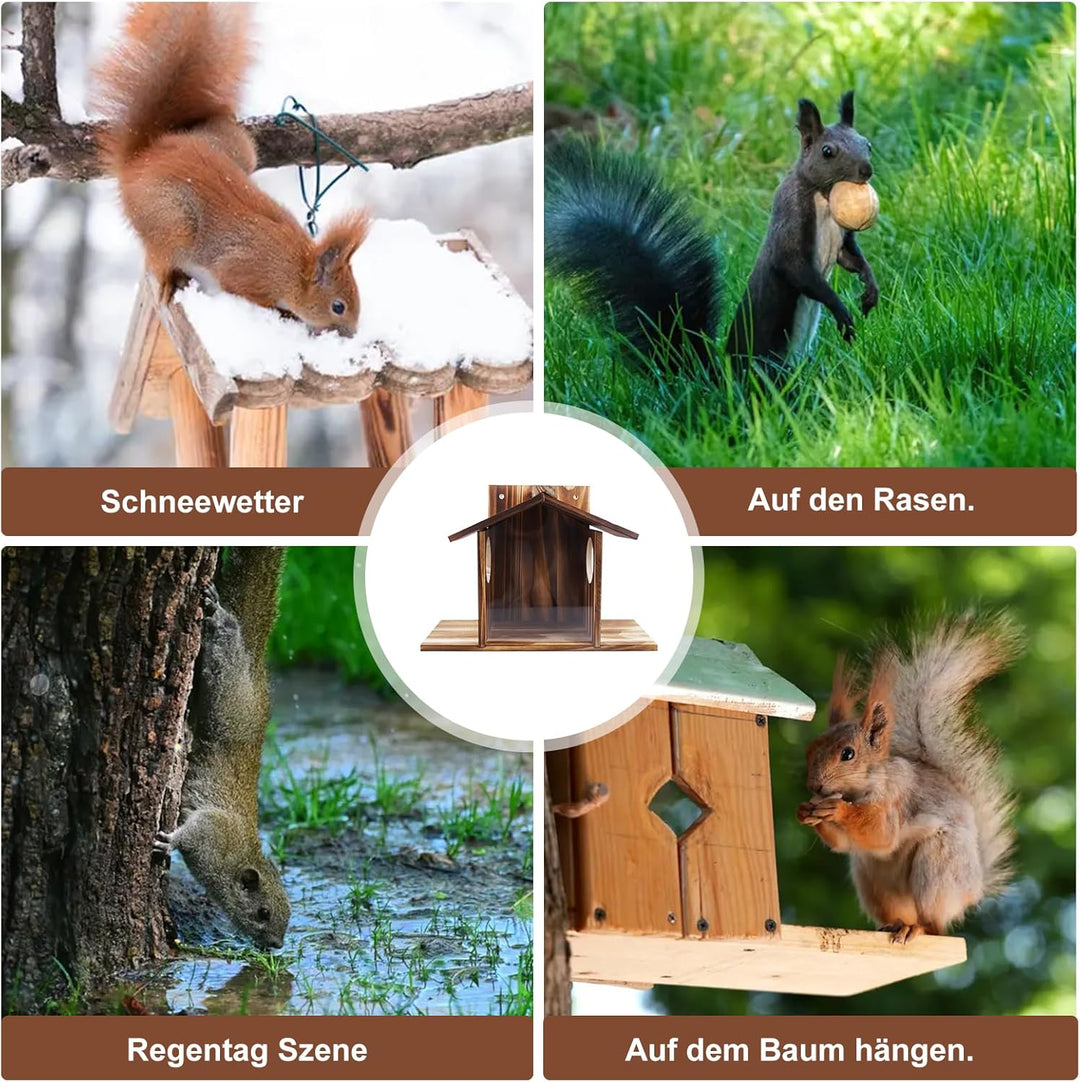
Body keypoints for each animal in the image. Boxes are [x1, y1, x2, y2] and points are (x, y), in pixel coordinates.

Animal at [92, 3, 370, 335]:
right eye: (338, 306)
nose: (351, 334)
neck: (295, 268)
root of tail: (144, 157)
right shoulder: (246, 271)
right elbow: (236, 285)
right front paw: (286, 314)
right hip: (172, 217)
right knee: (157, 257)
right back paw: (167, 281)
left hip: (238, 149)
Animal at [155, 547, 290, 950]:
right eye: (263, 913)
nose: (276, 946)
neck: (240, 855)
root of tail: (257, 669)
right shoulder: (213, 834)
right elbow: (190, 833)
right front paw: (168, 841)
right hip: (229, 694)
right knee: (225, 645)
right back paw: (217, 614)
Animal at [545, 91, 878, 369]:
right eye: (827, 151)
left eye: (867, 144)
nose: (866, 170)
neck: (823, 197)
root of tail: (722, 378)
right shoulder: (791, 219)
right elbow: (796, 268)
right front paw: (841, 310)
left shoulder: (841, 236)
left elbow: (849, 257)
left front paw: (870, 288)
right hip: (770, 358)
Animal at [797, 613, 1021, 944]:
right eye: (810, 750)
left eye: (848, 754)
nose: (815, 785)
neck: (862, 787)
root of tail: (973, 890)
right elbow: (842, 843)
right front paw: (806, 810)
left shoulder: (895, 798)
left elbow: (880, 832)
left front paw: (837, 810)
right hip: (871, 880)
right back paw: (895, 925)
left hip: (938, 866)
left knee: (935, 925)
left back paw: (918, 927)